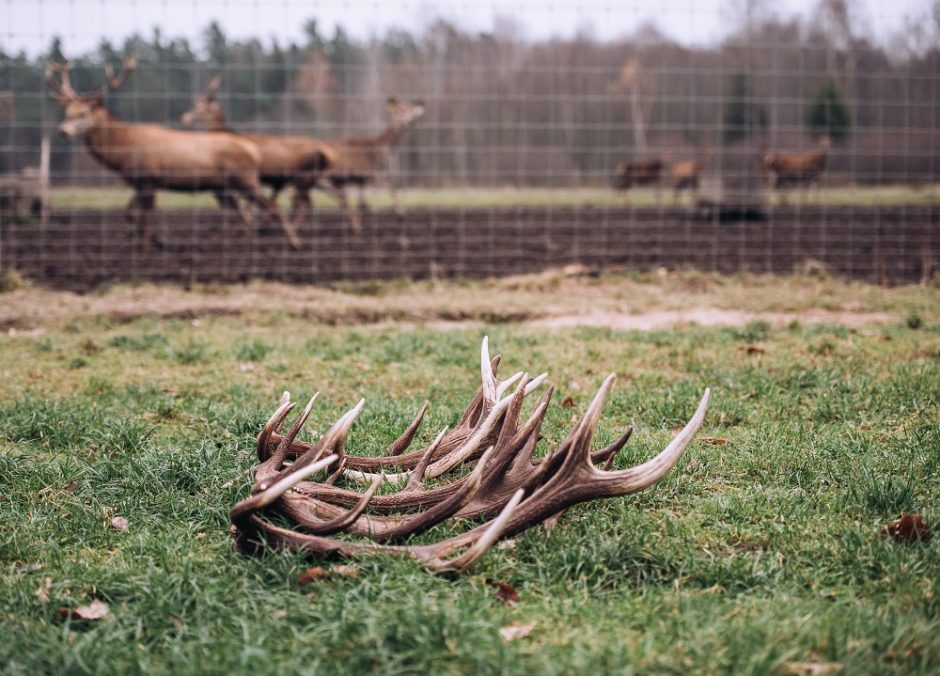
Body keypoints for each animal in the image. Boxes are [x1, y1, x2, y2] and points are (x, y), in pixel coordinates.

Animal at [46, 57, 302, 248]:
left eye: (83, 113)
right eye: (67, 112)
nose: (63, 131)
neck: (123, 151)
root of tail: (252, 151)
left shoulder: (148, 178)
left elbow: (146, 219)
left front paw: (149, 246)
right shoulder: (139, 182)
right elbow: (129, 214)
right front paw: (156, 241)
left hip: (244, 179)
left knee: (271, 209)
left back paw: (293, 243)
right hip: (223, 187)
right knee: (243, 215)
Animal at [180, 73, 334, 226]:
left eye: (200, 106)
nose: (185, 118)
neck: (223, 132)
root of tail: (325, 155)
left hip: (303, 179)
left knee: (304, 204)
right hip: (307, 181)